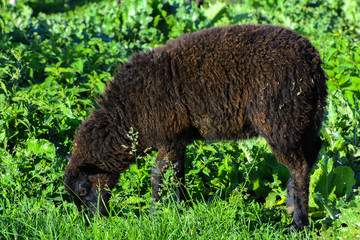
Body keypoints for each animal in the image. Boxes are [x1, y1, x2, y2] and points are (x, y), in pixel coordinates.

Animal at [63, 23, 328, 229]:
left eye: (83, 191)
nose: (95, 224)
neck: (125, 115)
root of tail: (312, 61)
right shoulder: (178, 138)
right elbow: (178, 173)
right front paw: (184, 208)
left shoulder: (168, 137)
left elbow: (157, 175)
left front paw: (154, 216)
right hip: (305, 119)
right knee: (312, 153)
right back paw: (292, 205)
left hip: (280, 122)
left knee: (299, 168)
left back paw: (298, 223)